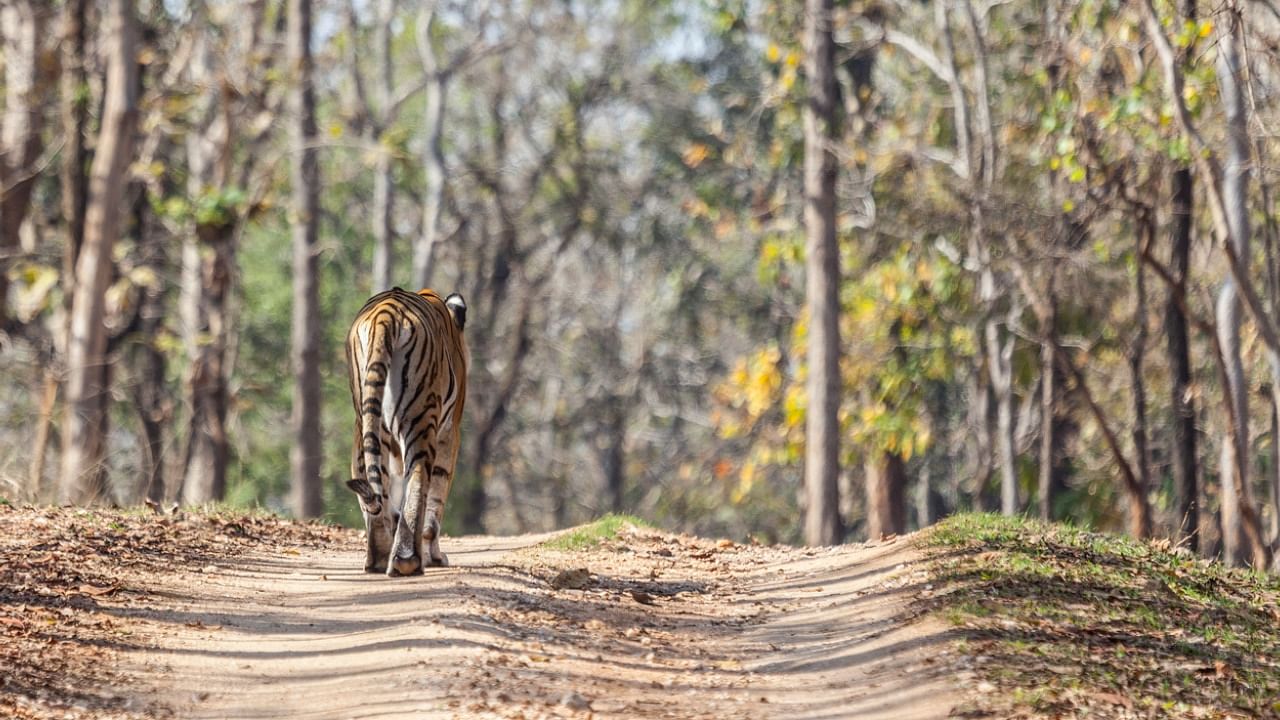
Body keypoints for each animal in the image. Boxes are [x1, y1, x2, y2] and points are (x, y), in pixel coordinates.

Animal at [345, 284, 471, 571]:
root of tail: (386, 314)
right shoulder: (450, 432)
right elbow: (437, 494)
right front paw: (435, 556)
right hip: (421, 417)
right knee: (419, 476)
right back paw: (407, 560)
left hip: (366, 419)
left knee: (371, 479)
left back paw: (379, 558)